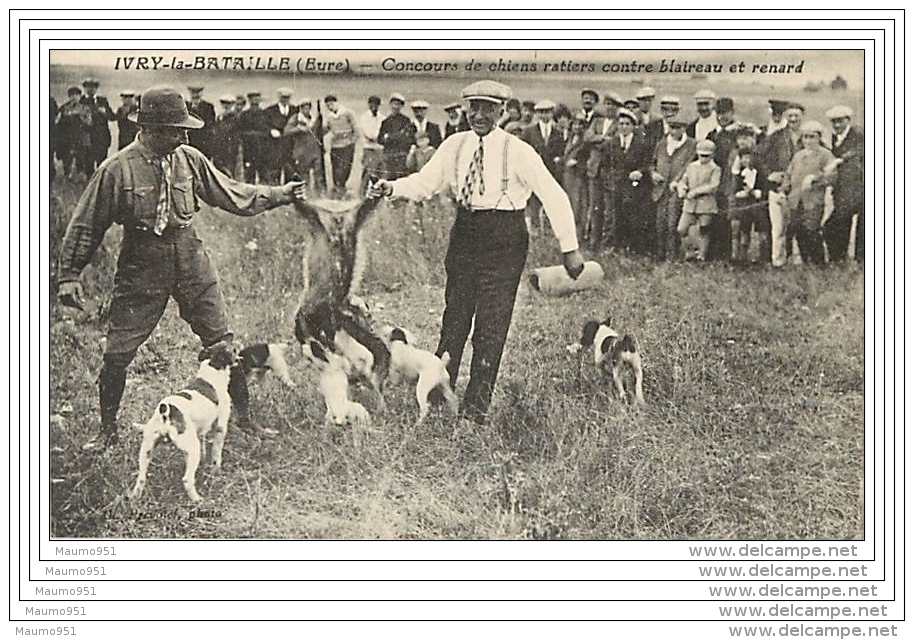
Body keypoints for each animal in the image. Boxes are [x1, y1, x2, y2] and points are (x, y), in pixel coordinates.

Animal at [132, 342, 240, 502]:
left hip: (146, 450)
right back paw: (197, 499)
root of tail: (166, 411)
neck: (212, 368)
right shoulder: (220, 427)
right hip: (191, 448)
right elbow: (216, 454)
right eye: (233, 348)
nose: (237, 343)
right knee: (187, 480)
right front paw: (216, 471)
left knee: (140, 479)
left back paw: (134, 497)